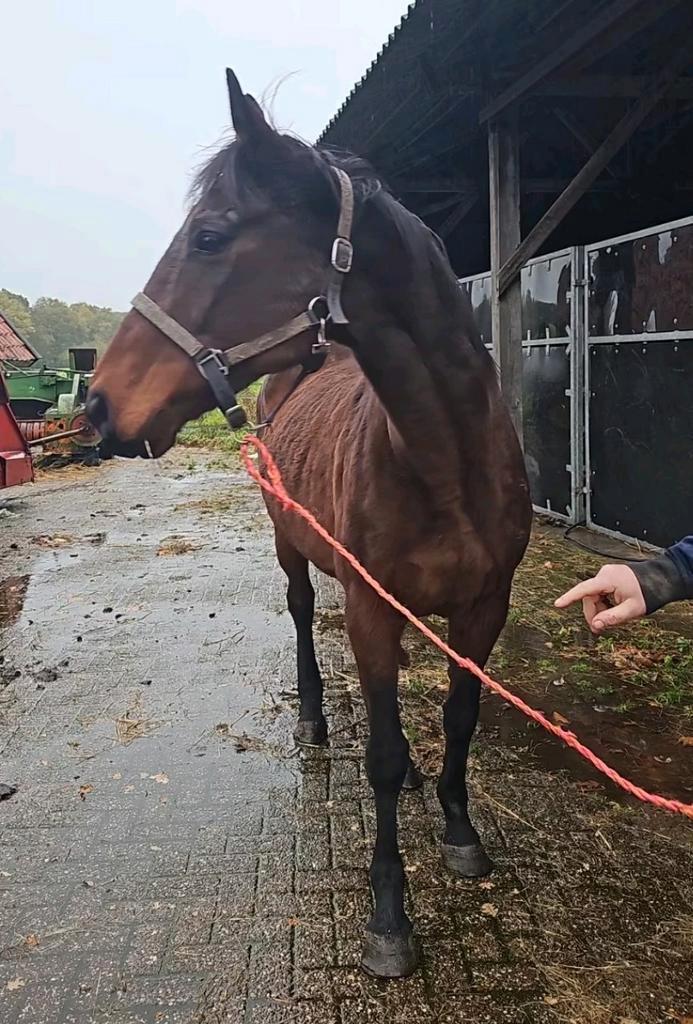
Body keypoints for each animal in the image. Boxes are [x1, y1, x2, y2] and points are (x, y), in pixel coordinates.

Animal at [87, 69, 532, 978]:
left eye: (210, 236)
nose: (99, 406)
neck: (444, 462)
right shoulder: (368, 613)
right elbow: (384, 759)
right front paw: (388, 918)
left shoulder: (484, 608)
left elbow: (461, 716)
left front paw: (461, 832)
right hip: (289, 547)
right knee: (297, 615)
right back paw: (313, 718)